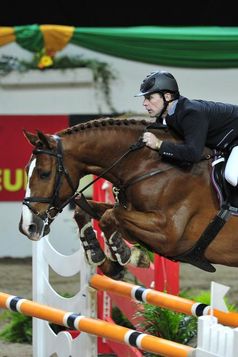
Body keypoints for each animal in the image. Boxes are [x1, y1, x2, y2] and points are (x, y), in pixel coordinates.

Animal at [18, 117, 238, 278]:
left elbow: (109, 216)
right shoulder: (132, 214)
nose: (28, 227)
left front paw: (127, 254)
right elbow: (87, 211)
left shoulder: (167, 234)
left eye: (44, 173)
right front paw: (104, 259)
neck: (151, 165)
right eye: (27, 170)